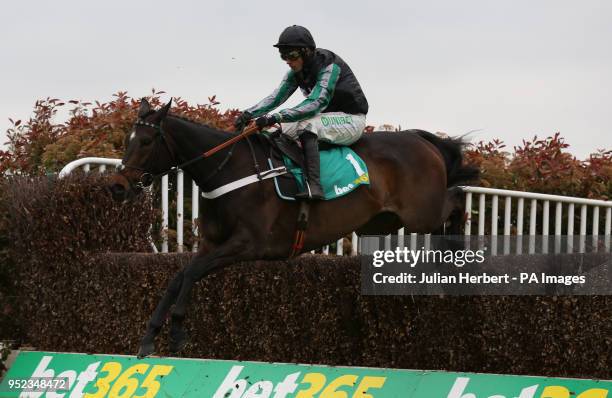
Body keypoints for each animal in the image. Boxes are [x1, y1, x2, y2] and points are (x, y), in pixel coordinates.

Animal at [109, 99, 478, 358]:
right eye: (128, 139)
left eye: (145, 141)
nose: (117, 187)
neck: (228, 169)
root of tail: (420, 138)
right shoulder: (212, 245)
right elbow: (179, 276)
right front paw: (149, 337)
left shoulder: (247, 244)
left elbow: (190, 274)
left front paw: (176, 333)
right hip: (386, 219)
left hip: (420, 212)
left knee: (457, 199)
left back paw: (455, 257)